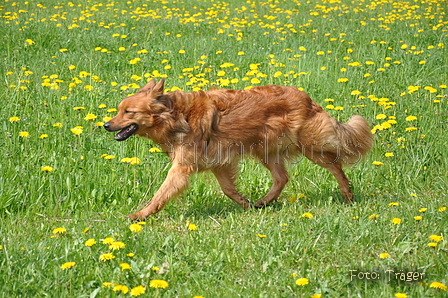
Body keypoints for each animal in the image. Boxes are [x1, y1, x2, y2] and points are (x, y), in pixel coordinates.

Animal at [103, 78, 372, 220]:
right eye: (118, 110)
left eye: (128, 112)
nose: (105, 124)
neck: (176, 116)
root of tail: (306, 98)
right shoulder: (219, 164)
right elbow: (229, 190)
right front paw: (247, 205)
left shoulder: (181, 168)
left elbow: (160, 195)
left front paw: (139, 216)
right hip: (266, 151)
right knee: (281, 178)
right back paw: (264, 202)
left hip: (309, 146)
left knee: (336, 164)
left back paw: (348, 194)